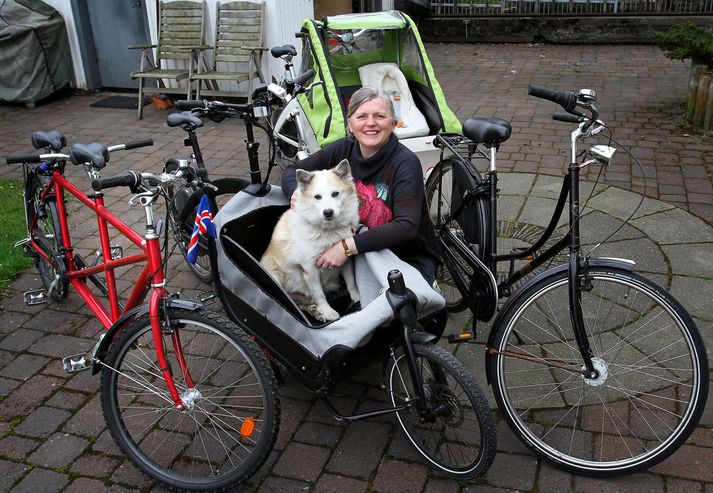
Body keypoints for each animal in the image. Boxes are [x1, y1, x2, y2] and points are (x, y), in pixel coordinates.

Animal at [260, 160, 362, 322]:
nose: (328, 212)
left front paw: (357, 298)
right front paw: (328, 311)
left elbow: (351, 283)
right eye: (317, 197)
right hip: (272, 271)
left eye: (335, 194)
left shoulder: (345, 260)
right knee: (291, 300)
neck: (327, 231)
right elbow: (319, 294)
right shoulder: (310, 270)